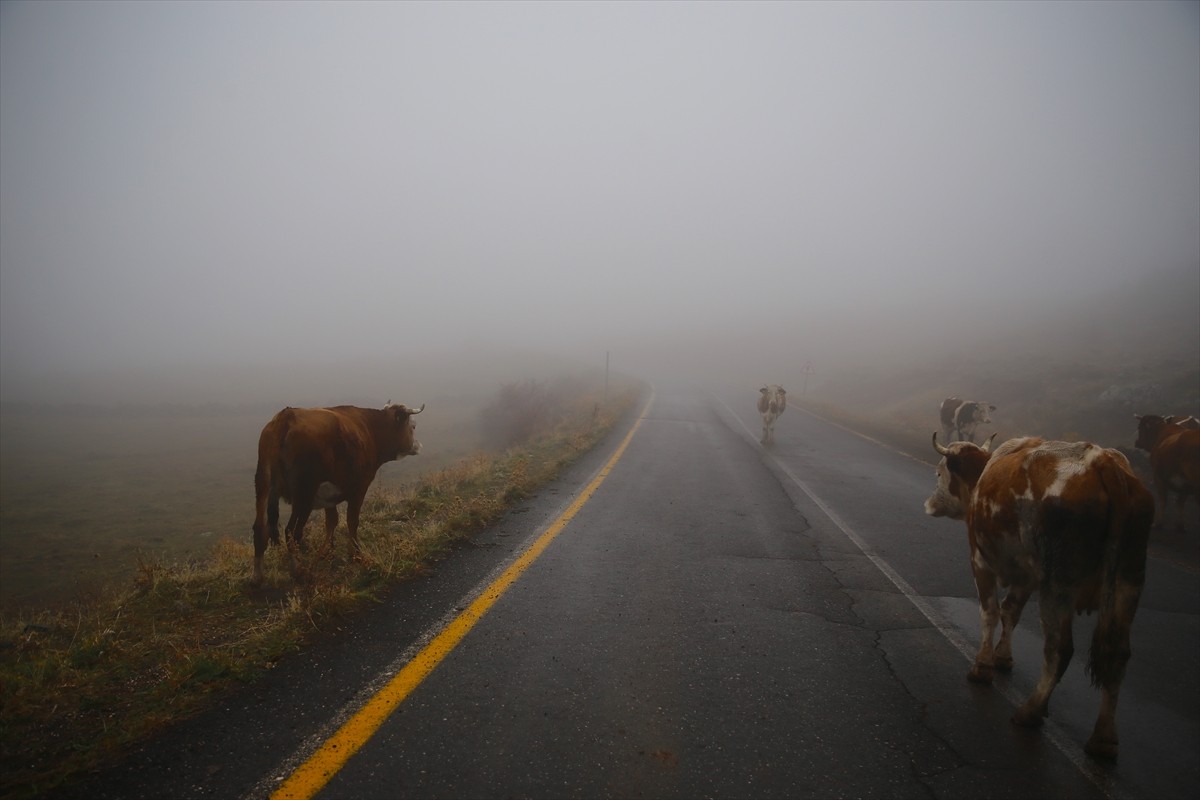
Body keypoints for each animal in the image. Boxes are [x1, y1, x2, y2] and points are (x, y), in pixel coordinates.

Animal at [250, 402, 424, 585]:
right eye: (413, 426)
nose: (418, 445)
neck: (371, 430)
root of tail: (286, 417)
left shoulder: (328, 496)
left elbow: (331, 521)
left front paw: (327, 551)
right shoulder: (359, 488)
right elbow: (352, 521)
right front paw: (355, 554)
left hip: (262, 484)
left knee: (259, 528)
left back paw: (257, 576)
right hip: (304, 495)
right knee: (292, 531)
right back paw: (297, 570)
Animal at [921, 434, 1156, 762]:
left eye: (939, 472)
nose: (928, 504)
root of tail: (1103, 462)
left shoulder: (980, 561)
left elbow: (990, 612)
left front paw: (983, 666)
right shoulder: (1027, 577)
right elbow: (1011, 611)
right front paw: (1003, 656)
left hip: (1058, 583)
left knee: (1060, 648)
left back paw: (1031, 710)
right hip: (1129, 578)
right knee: (1117, 654)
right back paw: (1104, 738)